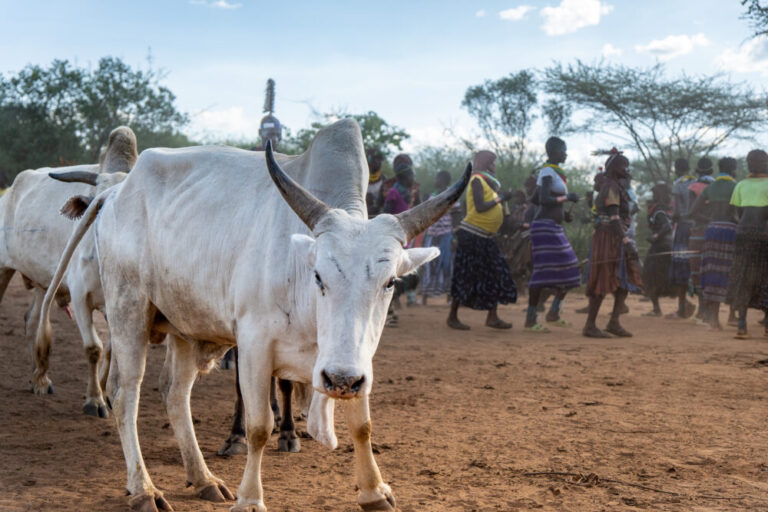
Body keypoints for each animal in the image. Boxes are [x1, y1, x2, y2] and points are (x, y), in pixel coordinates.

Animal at [0, 126, 136, 417]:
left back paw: (40, 379)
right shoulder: (80, 296)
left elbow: (111, 349)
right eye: (95, 203)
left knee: (33, 320)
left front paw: (105, 394)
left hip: (43, 282)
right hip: (3, 268)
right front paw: (94, 400)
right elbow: (93, 348)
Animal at [35, 119, 470, 511]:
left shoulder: (357, 359)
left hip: (184, 325)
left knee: (175, 394)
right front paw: (250, 499)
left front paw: (374, 492)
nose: (340, 380)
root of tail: (115, 191)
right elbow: (259, 427)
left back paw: (203, 479)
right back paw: (144, 489)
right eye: (318, 275)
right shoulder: (255, 346)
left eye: (390, 282)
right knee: (126, 393)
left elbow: (361, 425)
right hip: (128, 310)